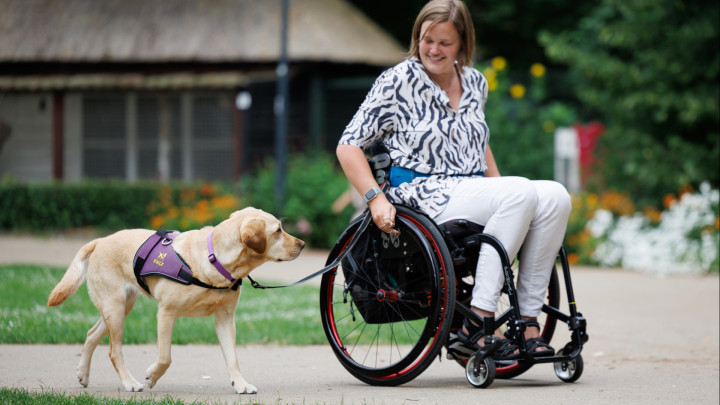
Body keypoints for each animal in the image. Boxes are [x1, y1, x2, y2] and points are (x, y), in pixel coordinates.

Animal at [45, 207, 304, 392]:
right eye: (278, 230)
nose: (302, 244)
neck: (213, 259)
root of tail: (100, 240)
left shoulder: (225, 318)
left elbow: (232, 357)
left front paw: (240, 384)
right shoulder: (166, 313)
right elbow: (165, 357)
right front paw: (151, 377)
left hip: (121, 306)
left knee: (91, 334)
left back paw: (83, 374)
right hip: (115, 306)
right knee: (113, 351)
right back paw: (130, 383)